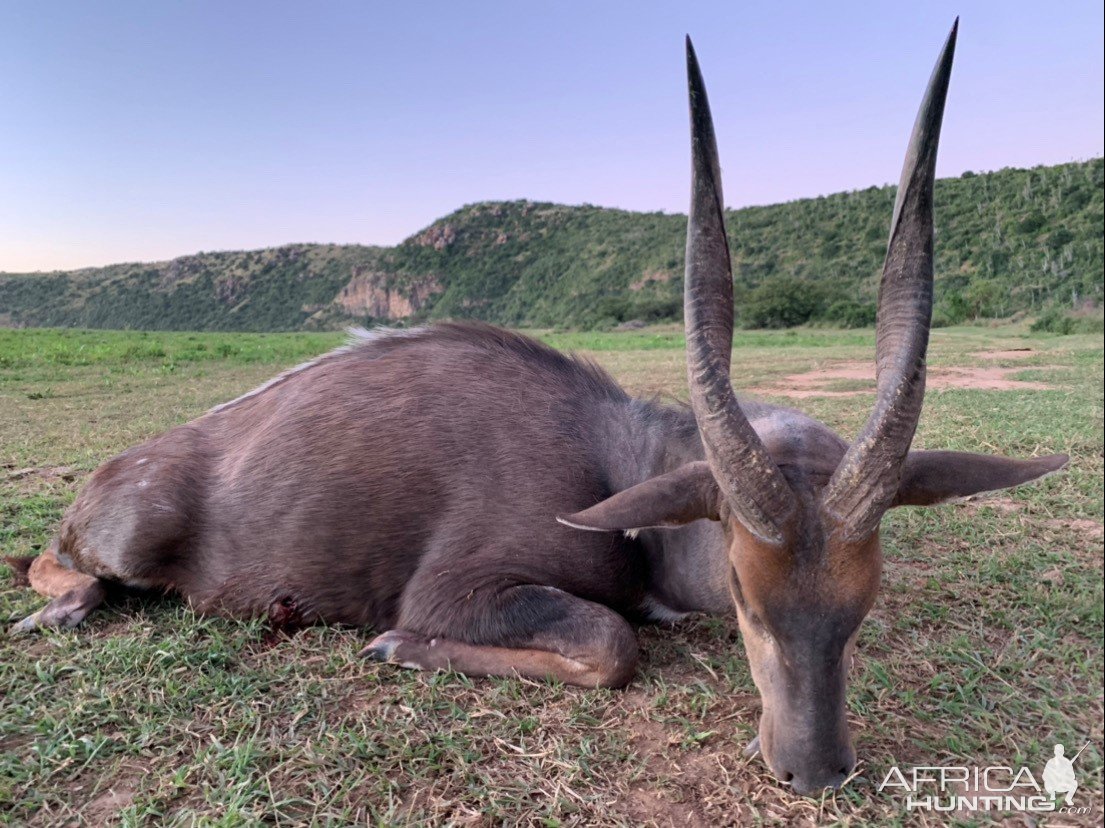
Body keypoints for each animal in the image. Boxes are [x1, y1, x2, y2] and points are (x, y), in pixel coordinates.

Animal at [4, 21, 1065, 795]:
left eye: (863, 599)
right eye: (744, 593)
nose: (814, 772)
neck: (618, 462)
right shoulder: (463, 588)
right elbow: (611, 644)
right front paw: (393, 645)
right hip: (128, 537)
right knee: (51, 564)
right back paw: (63, 609)